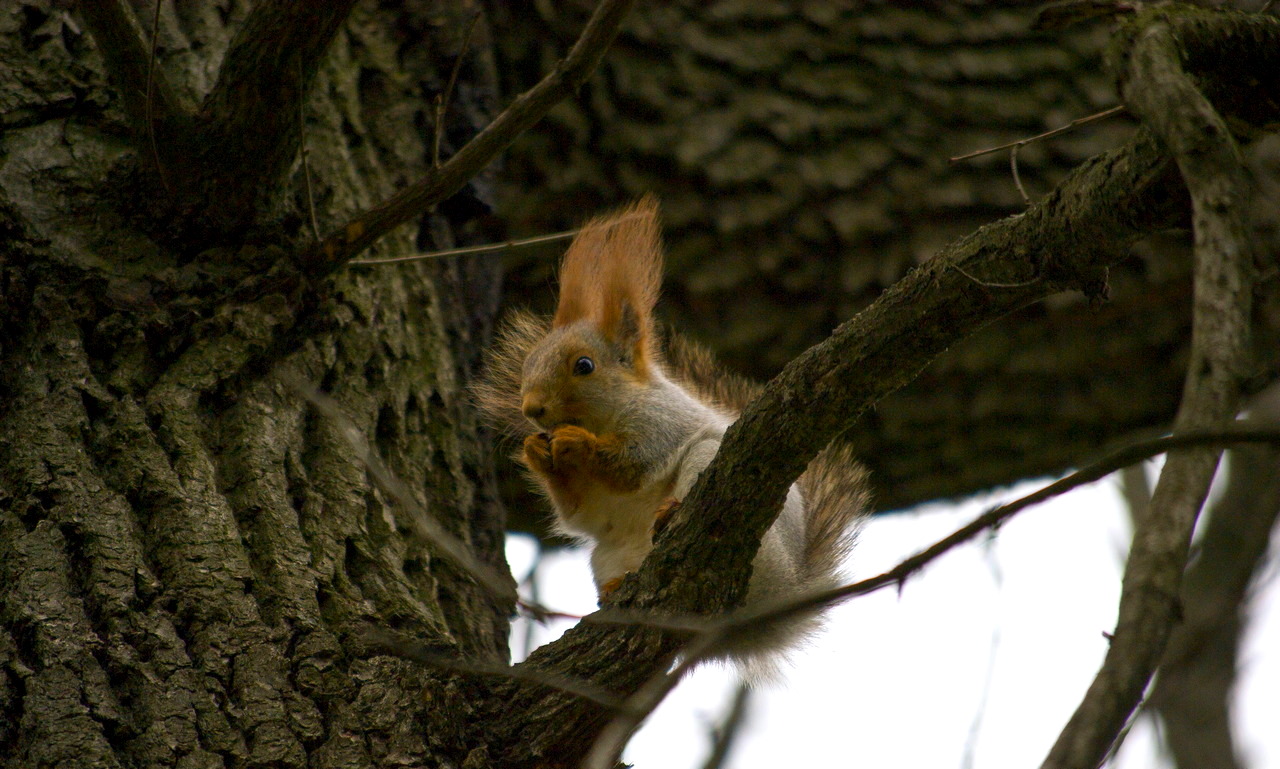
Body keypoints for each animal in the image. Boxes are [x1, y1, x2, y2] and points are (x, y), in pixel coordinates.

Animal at [473, 197, 870, 665]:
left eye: (584, 365)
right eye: (529, 363)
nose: (532, 408)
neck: (605, 417)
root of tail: (779, 600)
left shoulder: (660, 423)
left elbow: (631, 466)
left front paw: (576, 444)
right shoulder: (591, 505)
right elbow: (580, 512)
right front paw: (537, 453)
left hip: (716, 477)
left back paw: (672, 512)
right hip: (606, 554)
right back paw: (615, 590)